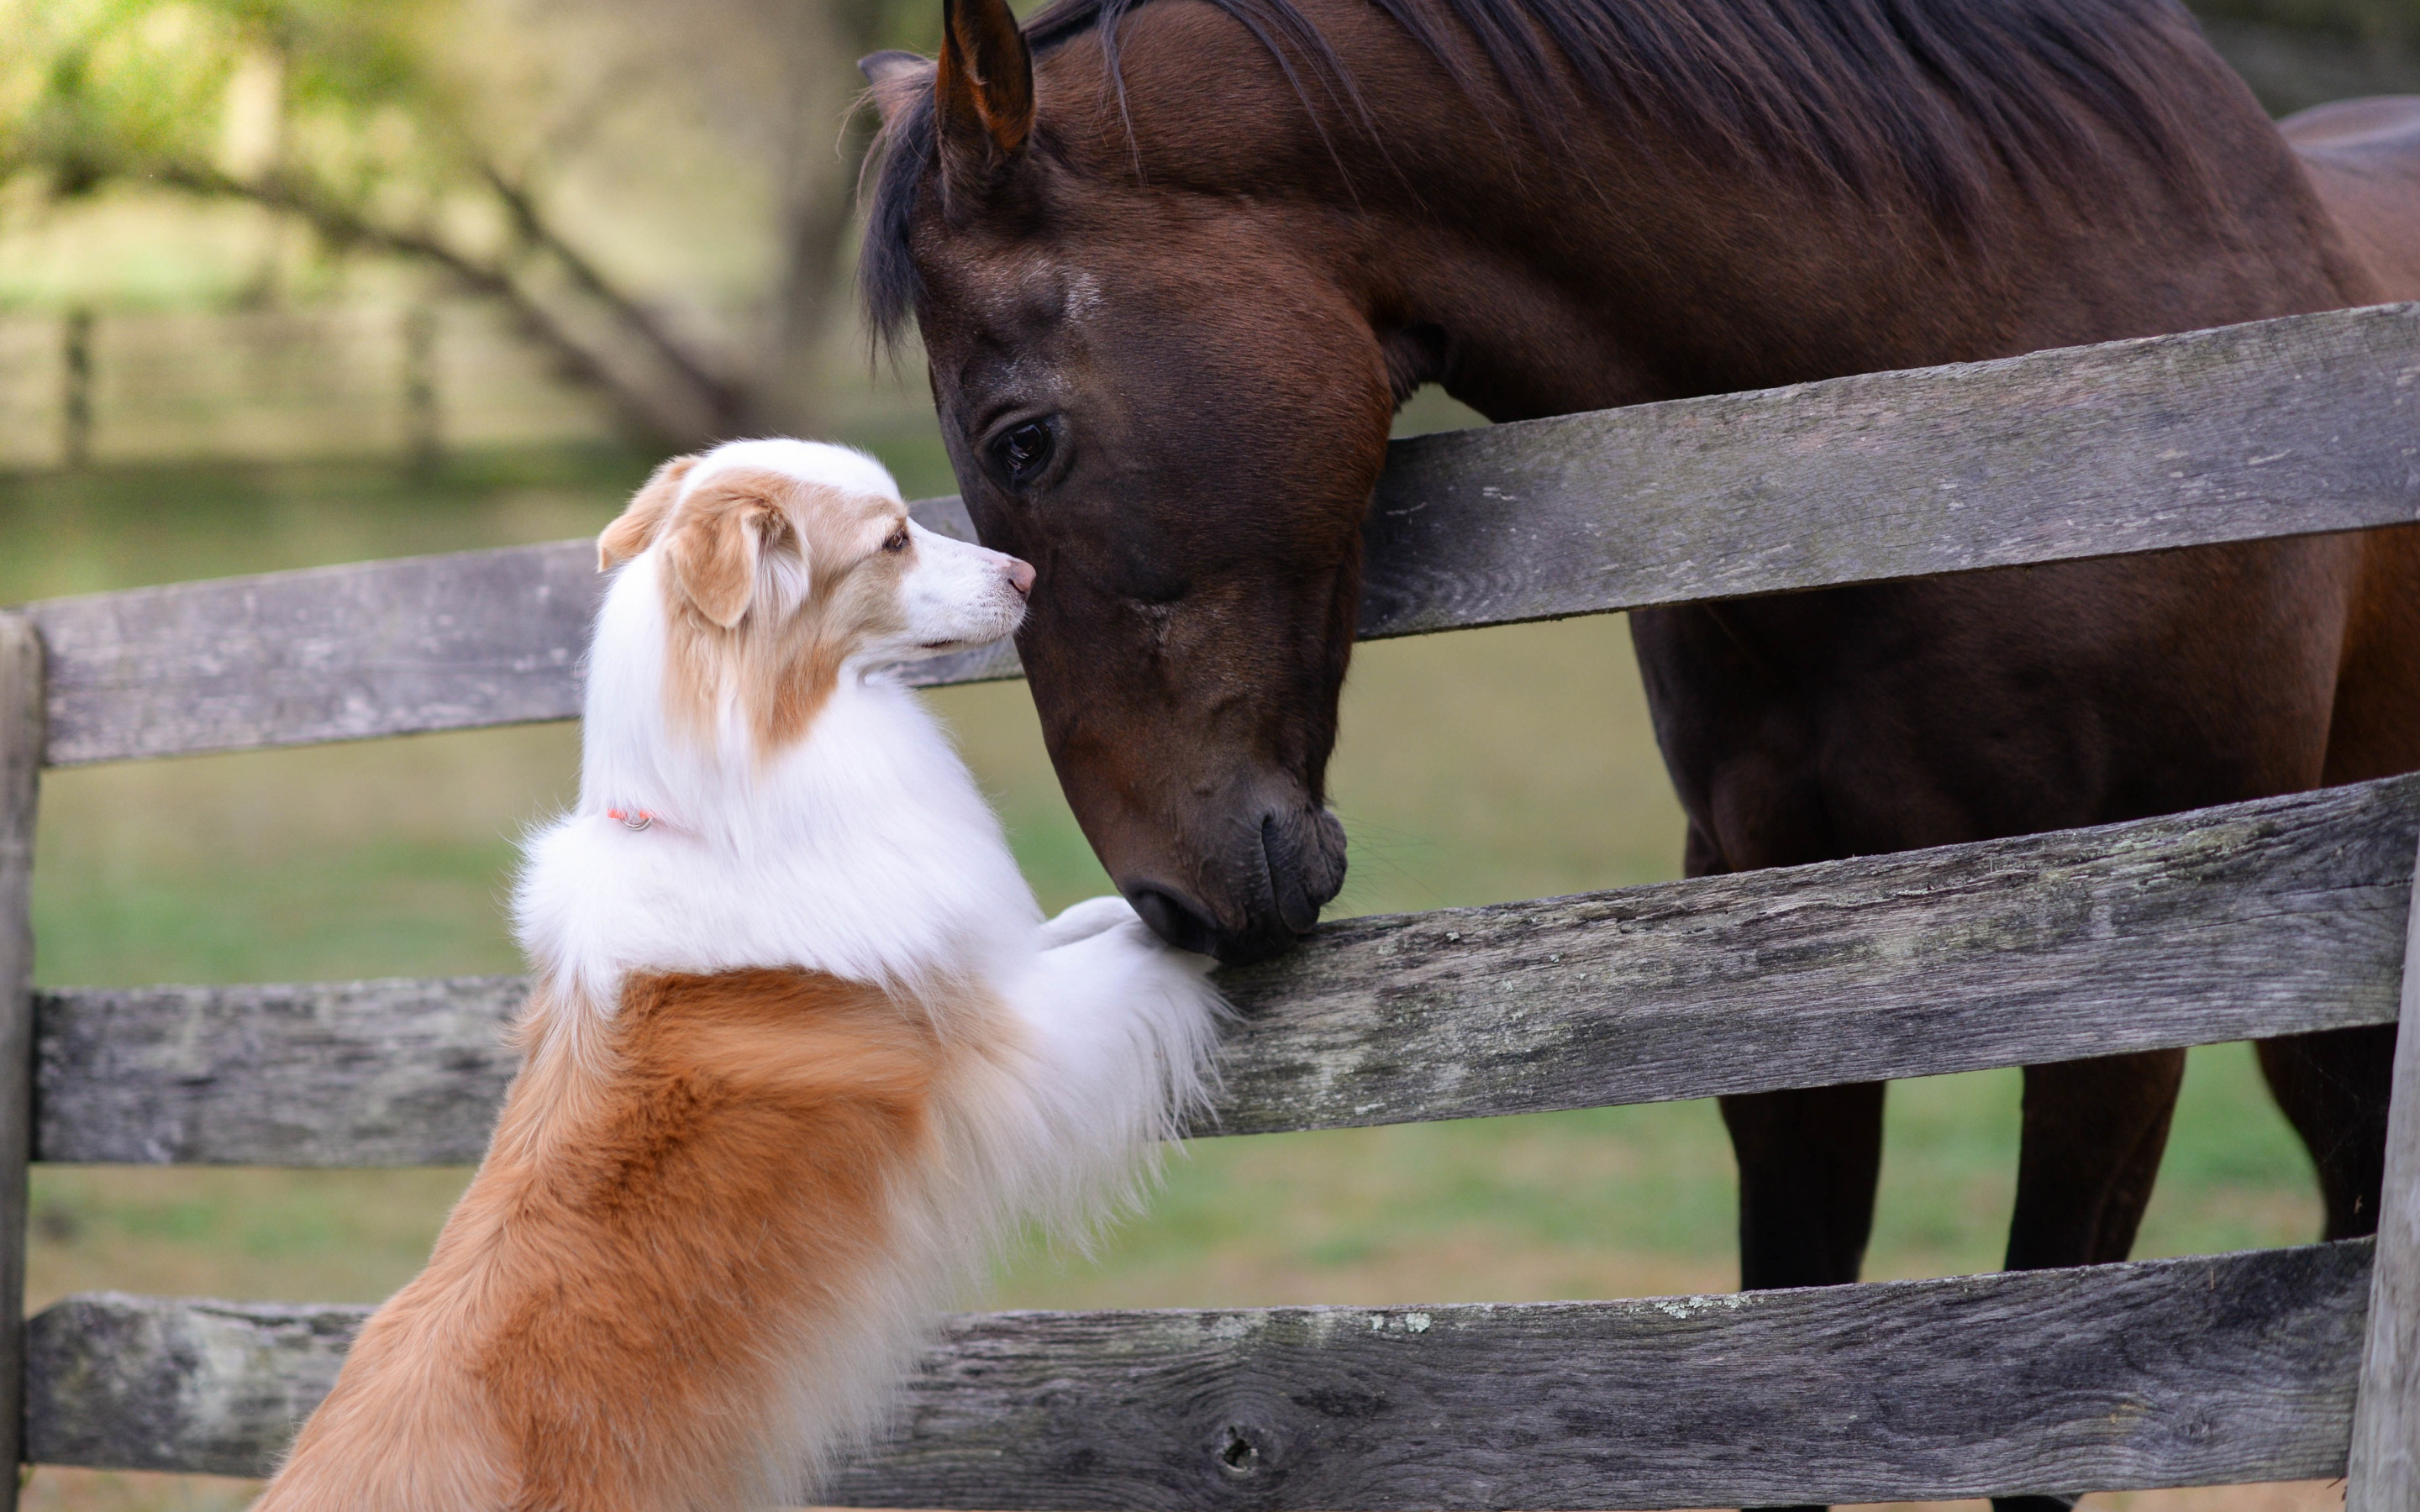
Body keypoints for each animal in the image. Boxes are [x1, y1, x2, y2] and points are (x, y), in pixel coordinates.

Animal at [260, 435, 1229, 1509]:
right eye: (893, 540)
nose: (1024, 574)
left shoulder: (982, 963)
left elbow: (1076, 925)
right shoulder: (1004, 1044)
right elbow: (1126, 957)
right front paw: (1203, 923)